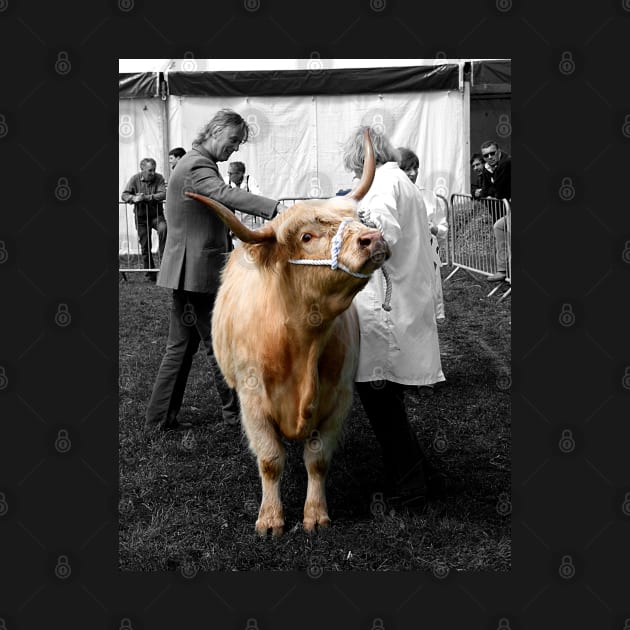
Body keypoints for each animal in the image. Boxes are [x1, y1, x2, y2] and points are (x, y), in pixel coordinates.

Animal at [185, 131, 388, 536]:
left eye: (357, 219)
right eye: (307, 236)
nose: (373, 239)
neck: (301, 345)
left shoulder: (338, 399)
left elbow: (317, 460)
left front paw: (315, 514)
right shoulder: (253, 403)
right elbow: (270, 460)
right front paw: (270, 518)